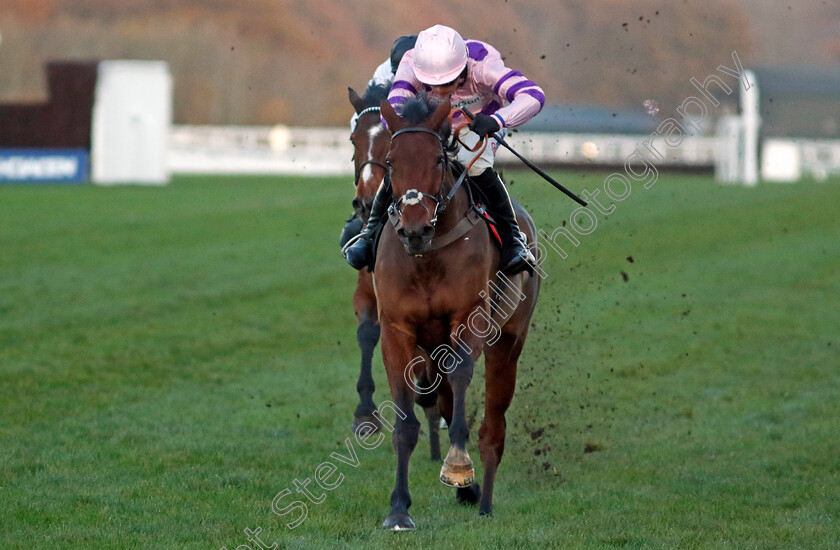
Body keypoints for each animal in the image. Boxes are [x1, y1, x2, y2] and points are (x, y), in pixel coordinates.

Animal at [344, 85, 442, 462]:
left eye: (389, 144)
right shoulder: (369, 285)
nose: (365, 201)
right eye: (354, 139)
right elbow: (368, 332)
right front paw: (364, 415)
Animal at [374, 97, 540, 532]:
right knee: (443, 401)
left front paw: (458, 467)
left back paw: (484, 499)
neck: (427, 257)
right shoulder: (396, 330)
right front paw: (398, 509)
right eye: (390, 162)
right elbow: (406, 422)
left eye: (437, 158)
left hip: (509, 341)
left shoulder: (468, 320)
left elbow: (463, 383)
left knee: (493, 425)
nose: (414, 228)